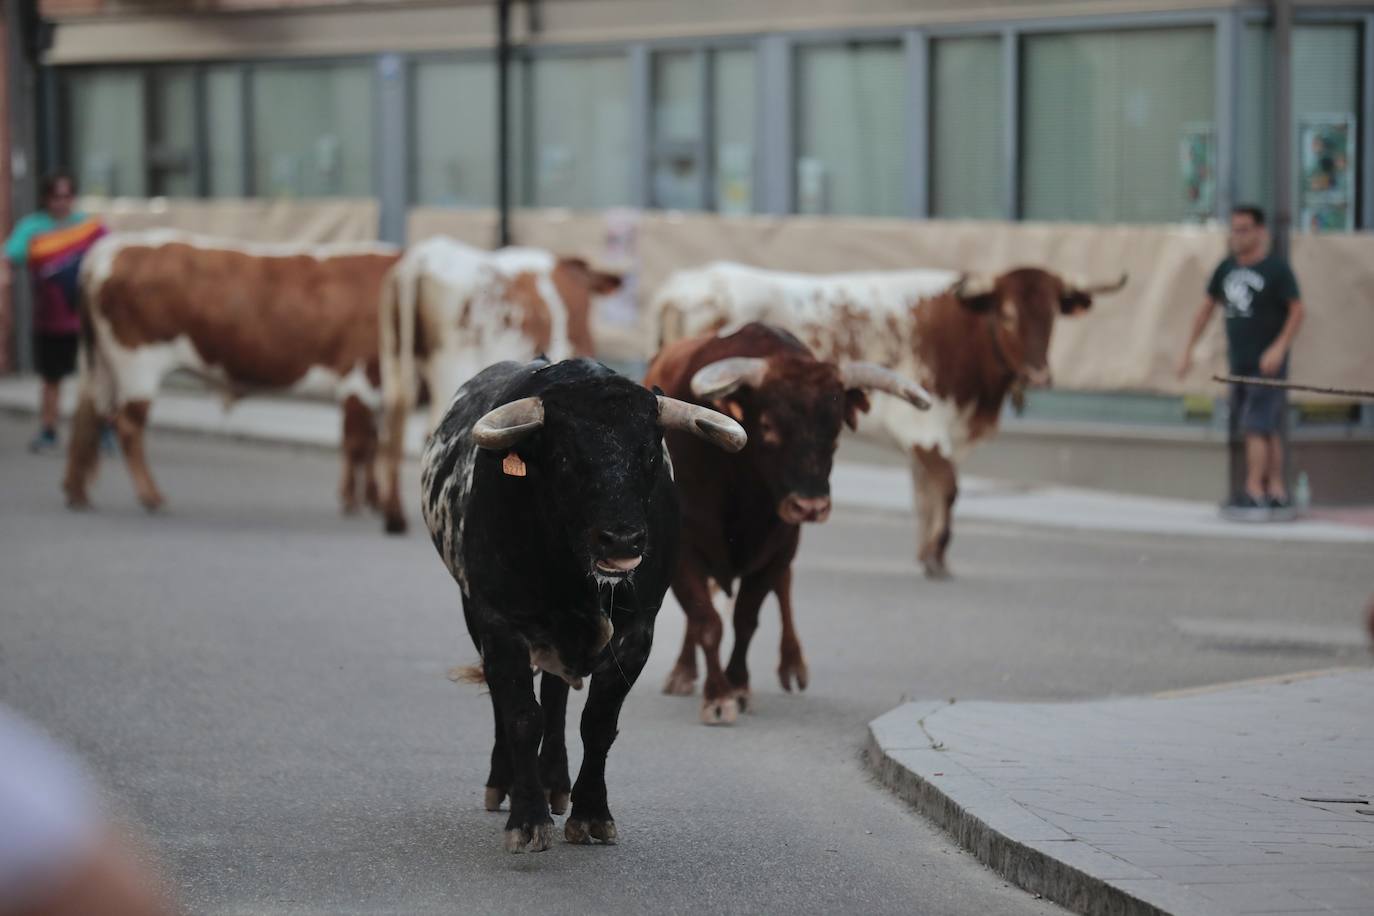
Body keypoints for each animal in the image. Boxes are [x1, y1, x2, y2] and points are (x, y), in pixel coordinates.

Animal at [65, 230, 398, 516]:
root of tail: (107, 250)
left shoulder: (376, 391)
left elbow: (372, 443)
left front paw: (374, 500)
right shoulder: (360, 378)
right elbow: (359, 445)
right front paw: (355, 502)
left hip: (102, 366)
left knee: (89, 415)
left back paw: (78, 493)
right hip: (137, 363)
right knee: (127, 426)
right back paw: (151, 496)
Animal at [420, 357, 747, 851]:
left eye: (650, 456)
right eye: (565, 459)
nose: (622, 541)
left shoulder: (637, 634)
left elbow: (598, 721)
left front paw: (591, 813)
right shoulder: (499, 621)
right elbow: (520, 715)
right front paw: (527, 818)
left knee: (556, 697)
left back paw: (555, 782)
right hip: (475, 613)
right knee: (508, 701)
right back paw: (505, 781)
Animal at [645, 322, 934, 725]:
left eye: (835, 429)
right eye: (767, 425)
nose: (810, 505)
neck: (741, 491)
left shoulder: (778, 549)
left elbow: (746, 618)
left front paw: (739, 686)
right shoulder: (685, 550)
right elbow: (706, 621)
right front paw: (717, 696)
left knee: (782, 590)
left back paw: (793, 664)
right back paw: (683, 673)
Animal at [648, 263, 1121, 579]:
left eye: (1054, 315)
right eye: (1006, 315)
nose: (1041, 374)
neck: (964, 331)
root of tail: (687, 284)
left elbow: (926, 492)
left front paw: (929, 554)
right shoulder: (929, 432)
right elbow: (947, 489)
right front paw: (936, 557)